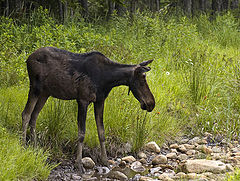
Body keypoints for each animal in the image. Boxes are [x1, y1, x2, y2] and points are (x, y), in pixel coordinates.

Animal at [22, 46, 156, 173]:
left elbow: (101, 132)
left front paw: (105, 161)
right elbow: (81, 133)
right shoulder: (83, 100)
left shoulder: (100, 101)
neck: (107, 80)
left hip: (45, 93)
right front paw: (79, 164)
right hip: (35, 88)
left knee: (34, 116)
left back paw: (34, 146)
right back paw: (23, 145)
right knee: (26, 114)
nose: (151, 103)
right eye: (142, 79)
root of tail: (28, 58)